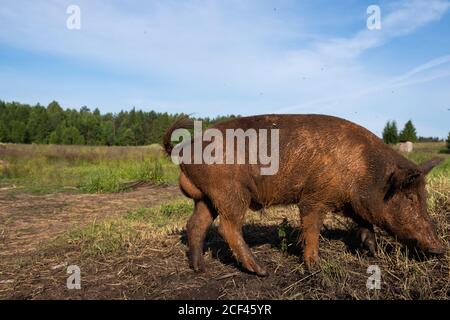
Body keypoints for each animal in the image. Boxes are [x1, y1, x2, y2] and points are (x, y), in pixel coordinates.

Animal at [163, 114, 442, 276]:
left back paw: (199, 268)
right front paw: (314, 266)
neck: (364, 171)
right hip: (230, 193)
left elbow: (365, 223)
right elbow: (311, 227)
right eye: (409, 197)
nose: (438, 249)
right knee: (227, 227)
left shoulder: (351, 203)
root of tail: (183, 150)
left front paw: (373, 253)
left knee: (196, 224)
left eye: (424, 195)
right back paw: (261, 271)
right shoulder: (315, 196)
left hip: (206, 198)